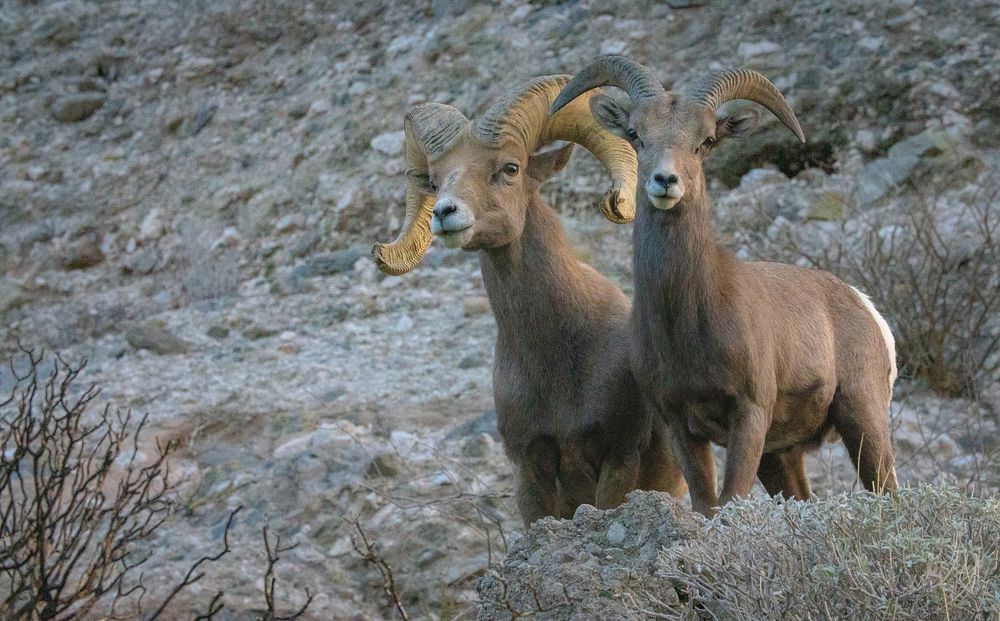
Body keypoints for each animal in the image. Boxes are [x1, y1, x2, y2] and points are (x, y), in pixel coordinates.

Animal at [370, 75, 688, 524]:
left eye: (510, 168)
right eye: (434, 180)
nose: (445, 214)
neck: (555, 358)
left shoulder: (620, 456)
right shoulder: (530, 467)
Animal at [552, 58, 904, 516]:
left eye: (705, 141)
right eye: (636, 135)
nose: (665, 181)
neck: (689, 323)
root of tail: (865, 306)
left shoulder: (748, 415)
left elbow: (731, 496)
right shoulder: (681, 425)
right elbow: (706, 502)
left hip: (862, 417)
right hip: (781, 456)